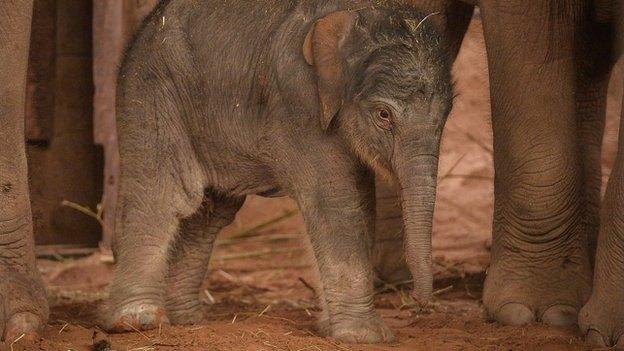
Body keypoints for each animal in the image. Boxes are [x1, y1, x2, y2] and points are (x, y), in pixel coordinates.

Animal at [105, 0, 450, 346]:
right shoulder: (298, 103)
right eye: (383, 115)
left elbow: (363, 202)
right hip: (152, 88)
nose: (419, 306)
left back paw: (187, 319)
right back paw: (138, 321)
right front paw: (364, 337)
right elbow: (335, 199)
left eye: (445, 117)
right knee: (163, 195)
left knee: (210, 214)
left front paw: (337, 329)